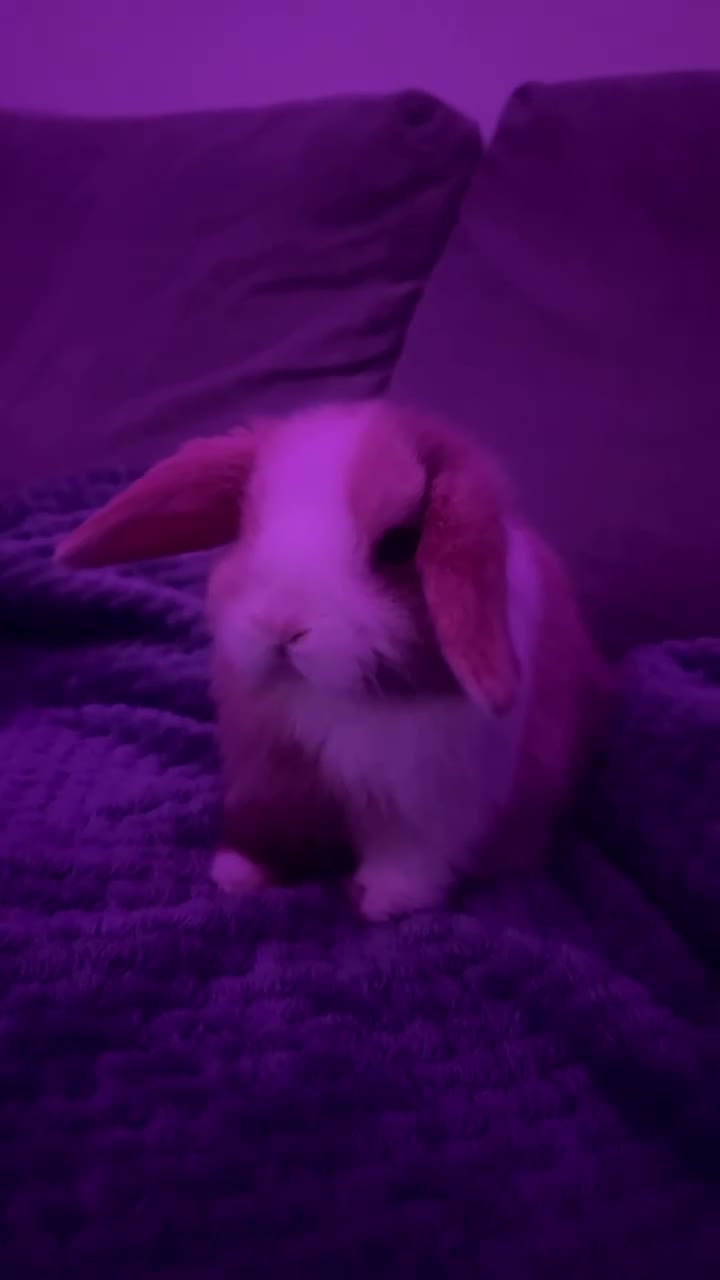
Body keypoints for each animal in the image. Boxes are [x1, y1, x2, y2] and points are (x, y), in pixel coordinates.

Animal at [56, 400, 611, 921]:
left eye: (398, 544)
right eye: (248, 525)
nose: (282, 625)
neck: (338, 704)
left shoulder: (436, 808)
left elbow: (411, 858)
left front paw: (381, 902)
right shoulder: (273, 775)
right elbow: (268, 826)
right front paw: (237, 873)